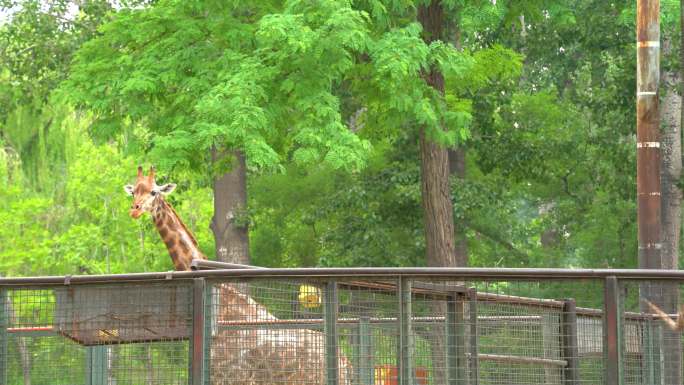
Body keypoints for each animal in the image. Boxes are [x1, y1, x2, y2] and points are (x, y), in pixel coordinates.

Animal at [121, 166, 352, 384]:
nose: (135, 210)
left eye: (153, 192)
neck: (222, 305)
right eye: (133, 192)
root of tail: (345, 362)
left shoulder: (229, 375)